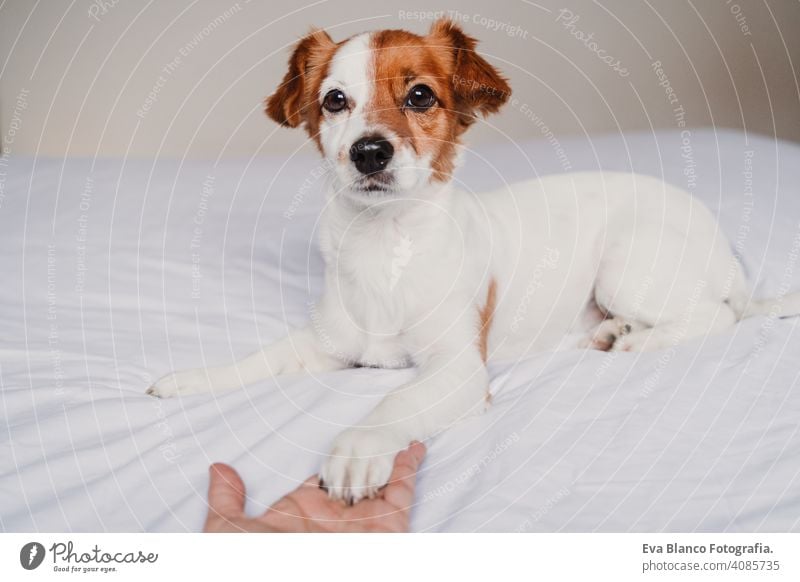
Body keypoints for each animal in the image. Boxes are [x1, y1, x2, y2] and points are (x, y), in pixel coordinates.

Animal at [148, 20, 800, 504]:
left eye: (420, 96)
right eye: (335, 101)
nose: (369, 152)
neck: (387, 249)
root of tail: (725, 250)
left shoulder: (458, 370)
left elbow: (394, 401)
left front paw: (357, 447)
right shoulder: (326, 345)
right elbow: (261, 360)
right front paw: (195, 379)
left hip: (626, 265)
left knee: (718, 316)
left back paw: (637, 340)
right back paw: (611, 332)